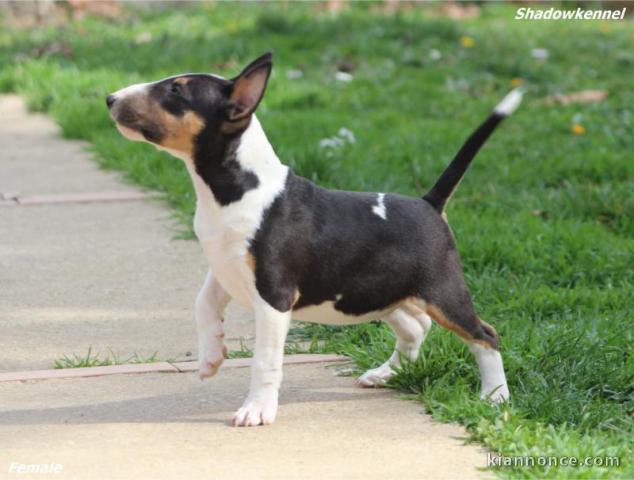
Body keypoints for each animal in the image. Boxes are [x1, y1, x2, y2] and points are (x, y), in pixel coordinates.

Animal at [106, 53, 520, 428]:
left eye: (176, 90)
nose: (110, 98)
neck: (235, 189)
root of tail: (429, 203)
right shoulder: (223, 265)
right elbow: (202, 304)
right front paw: (210, 358)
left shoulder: (273, 295)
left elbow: (264, 359)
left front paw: (256, 410)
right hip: (376, 292)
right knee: (416, 327)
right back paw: (383, 374)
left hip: (442, 291)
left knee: (486, 335)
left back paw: (495, 396)